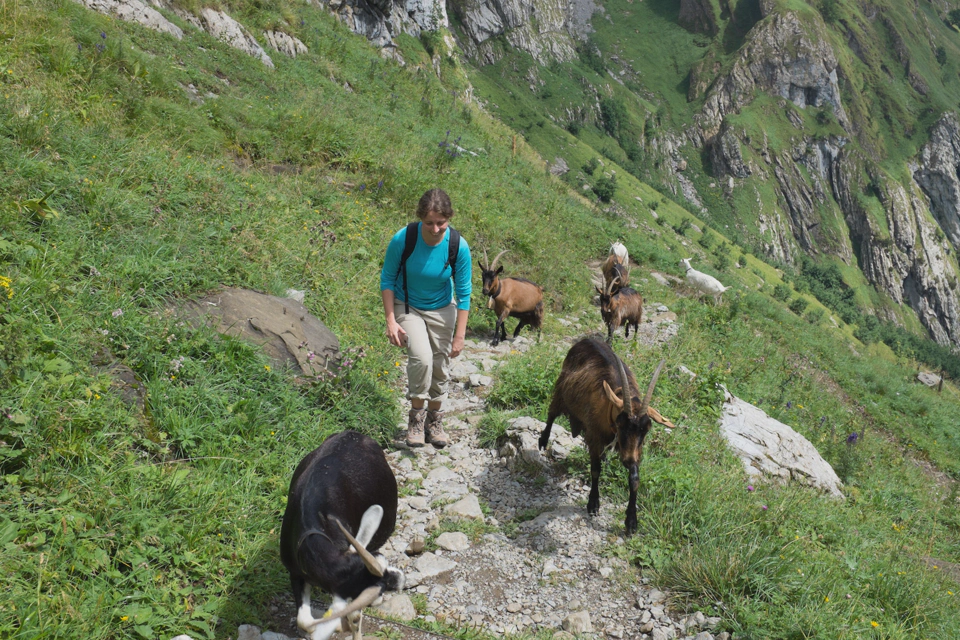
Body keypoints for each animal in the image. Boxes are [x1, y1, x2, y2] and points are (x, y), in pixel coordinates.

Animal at [284, 430, 406, 640]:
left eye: (382, 558)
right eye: (379, 589)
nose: (400, 580)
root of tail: (353, 433)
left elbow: (354, 616)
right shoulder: (295, 572)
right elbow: (304, 621)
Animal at [536, 340, 672, 536]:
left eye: (646, 429)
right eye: (621, 424)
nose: (628, 461)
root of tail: (585, 340)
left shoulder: (635, 449)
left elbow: (634, 479)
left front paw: (631, 522)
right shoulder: (594, 437)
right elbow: (595, 470)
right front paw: (593, 504)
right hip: (561, 390)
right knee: (552, 413)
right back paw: (543, 440)